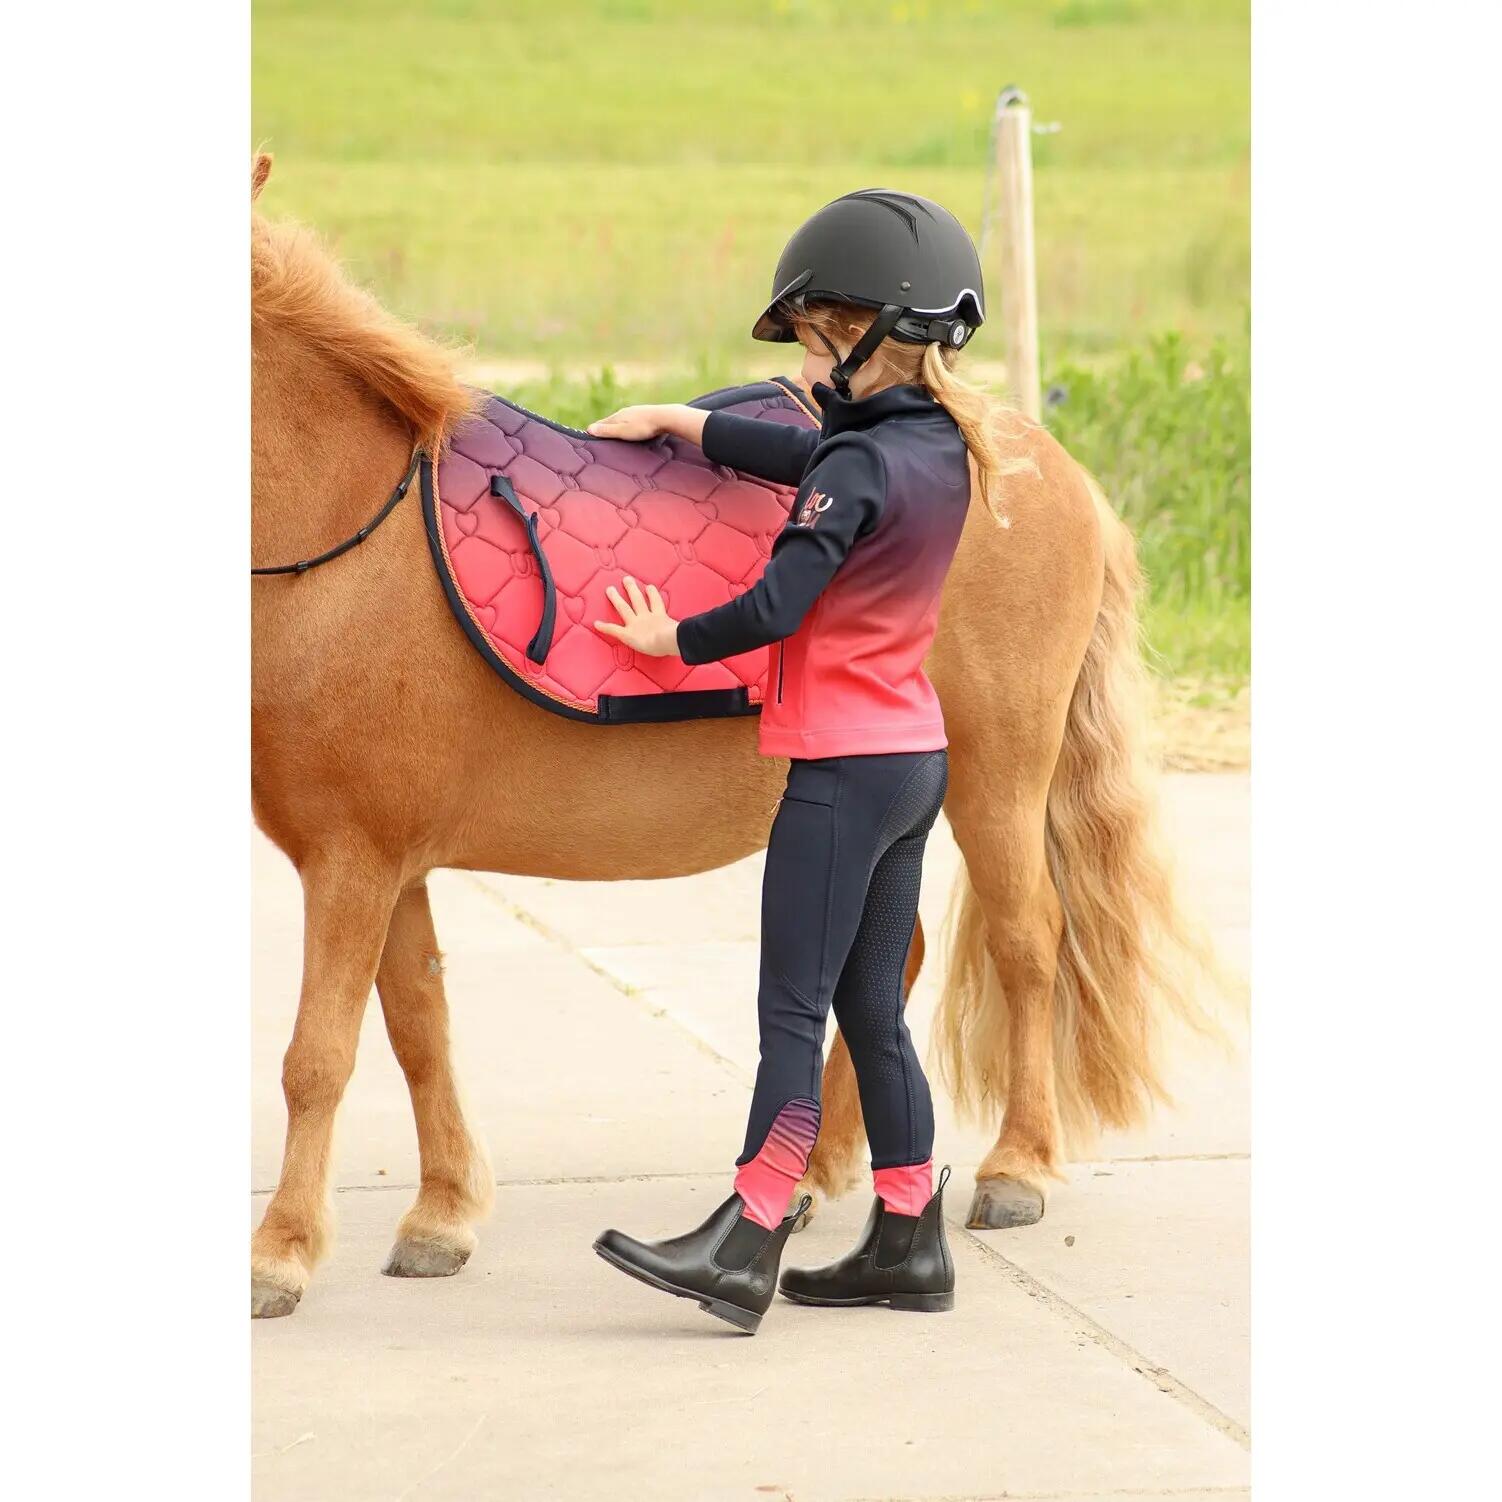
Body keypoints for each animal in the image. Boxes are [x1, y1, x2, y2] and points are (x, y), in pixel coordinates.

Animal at [249, 154, 1219, 1318]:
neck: (358, 538)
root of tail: (1041, 463)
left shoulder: (352, 861)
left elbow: (317, 1054)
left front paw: (281, 1253)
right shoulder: (386, 857)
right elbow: (416, 1026)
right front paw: (440, 1218)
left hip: (999, 779)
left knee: (1027, 942)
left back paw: (1014, 1167)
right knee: (889, 963)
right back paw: (814, 1170)